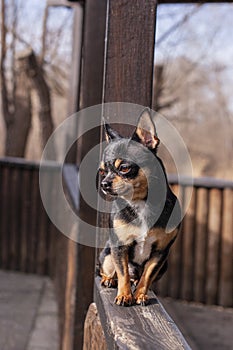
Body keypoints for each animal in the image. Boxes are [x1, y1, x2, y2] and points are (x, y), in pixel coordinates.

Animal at [97, 108, 181, 304]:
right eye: (103, 171)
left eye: (124, 168)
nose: (104, 183)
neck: (140, 202)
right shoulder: (119, 247)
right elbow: (123, 273)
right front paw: (124, 295)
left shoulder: (160, 253)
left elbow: (148, 275)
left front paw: (140, 294)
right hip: (107, 254)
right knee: (109, 270)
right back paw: (108, 280)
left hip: (164, 265)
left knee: (138, 275)